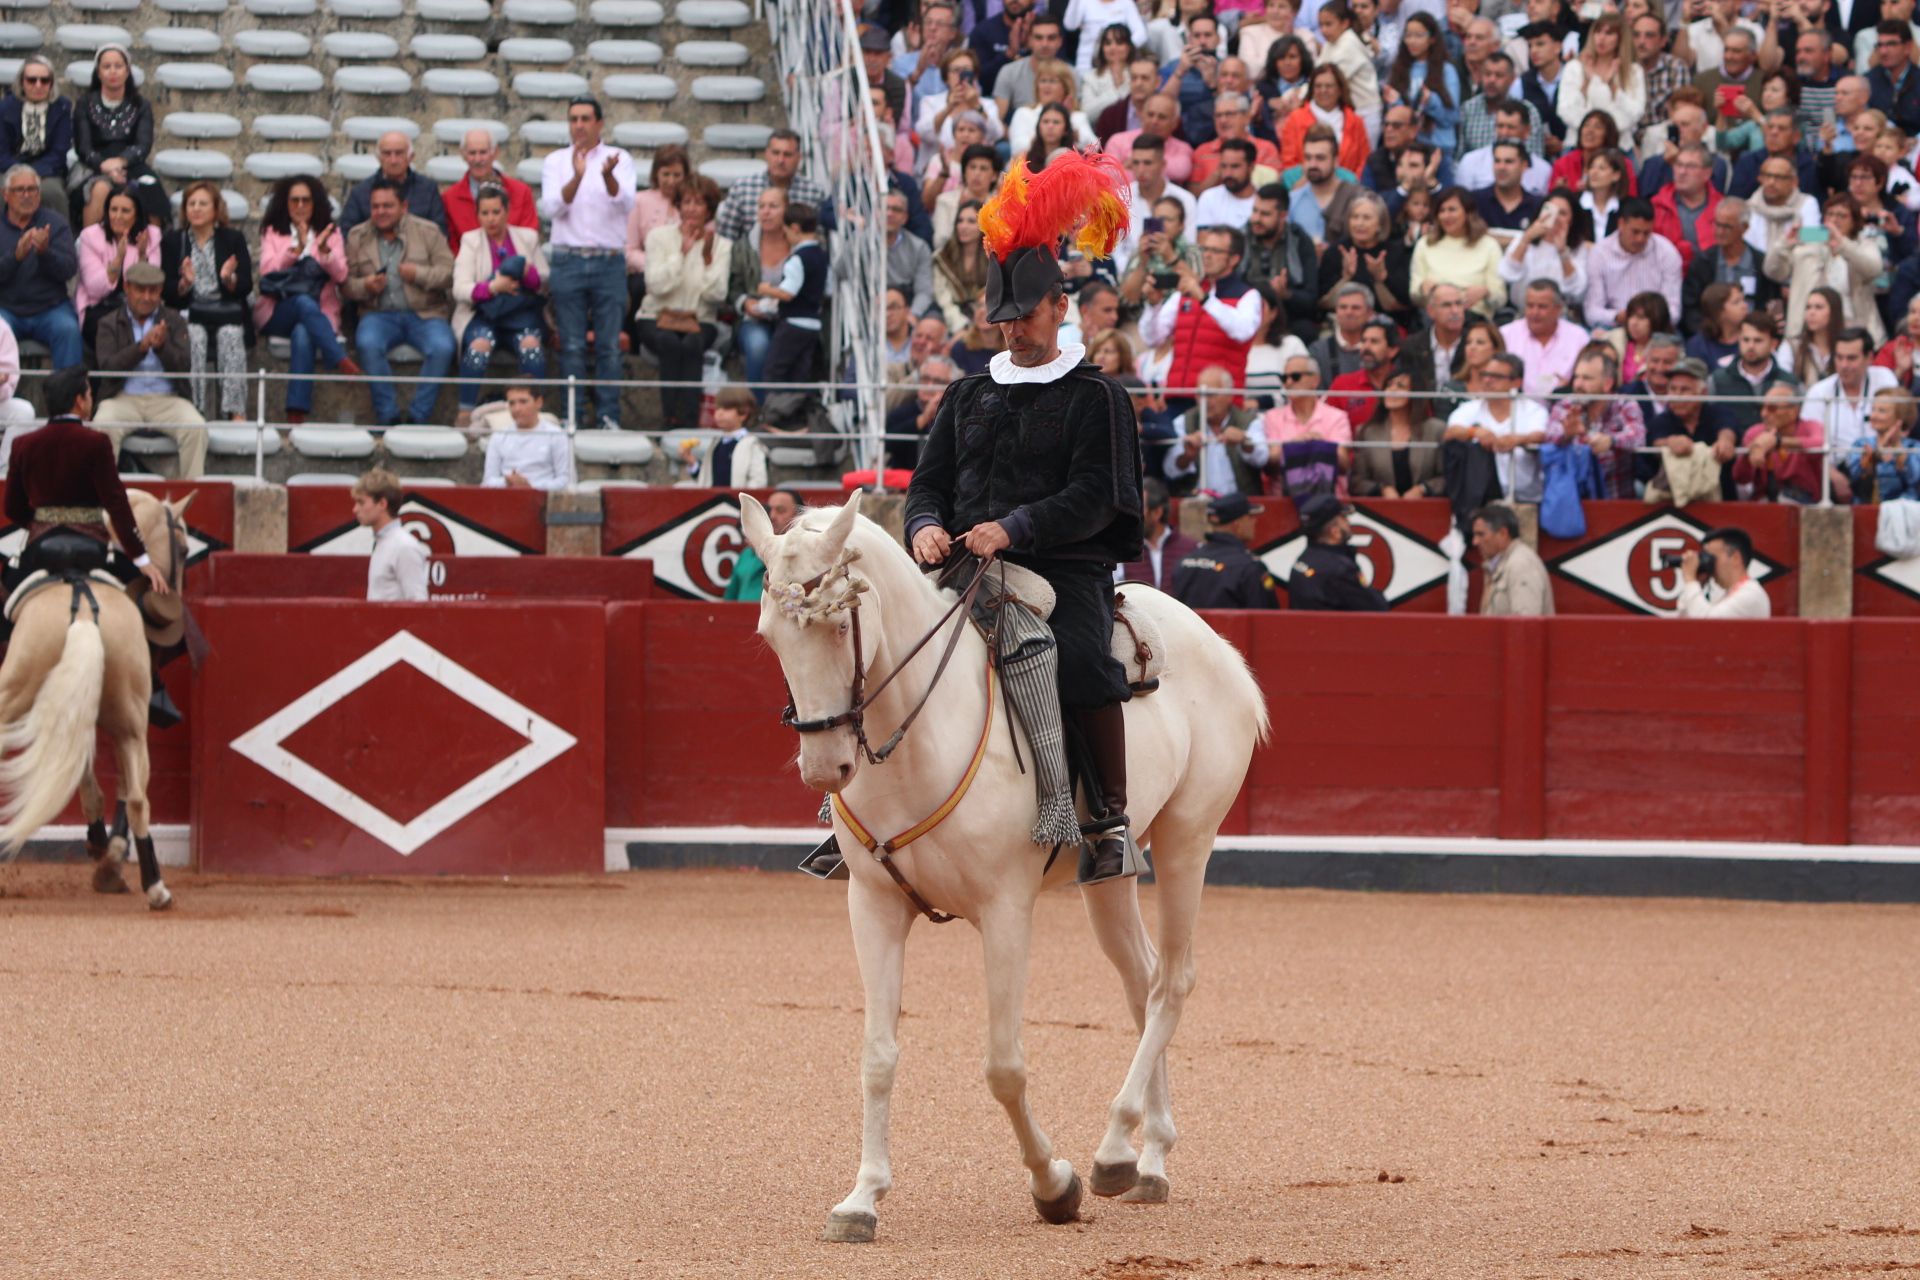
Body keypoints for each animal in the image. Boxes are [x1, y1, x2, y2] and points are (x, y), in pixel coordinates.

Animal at [0, 485, 191, 905]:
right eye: (185, 550)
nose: (174, 593)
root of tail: (84, 609)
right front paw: (108, 854)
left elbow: (86, 779)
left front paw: (101, 848)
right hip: (127, 722)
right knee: (135, 795)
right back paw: (151, 885)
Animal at [741, 487, 1267, 1243]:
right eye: (769, 636)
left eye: (841, 626)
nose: (824, 769)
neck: (917, 740)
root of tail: (1216, 644)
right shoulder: (872, 904)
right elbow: (877, 1055)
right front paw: (862, 1198)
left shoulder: (1005, 911)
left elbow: (1003, 1066)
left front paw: (1054, 1185)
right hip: (1109, 876)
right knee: (1142, 979)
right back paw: (1150, 1159)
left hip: (1187, 841)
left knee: (1173, 982)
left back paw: (1114, 1148)